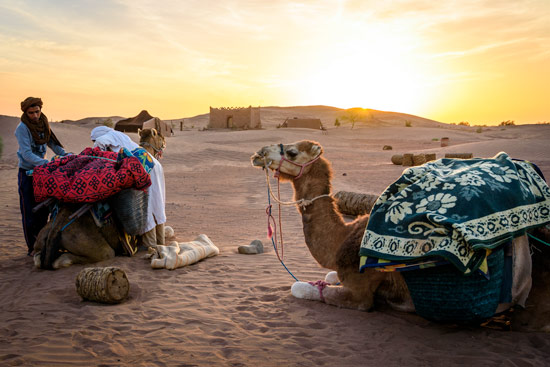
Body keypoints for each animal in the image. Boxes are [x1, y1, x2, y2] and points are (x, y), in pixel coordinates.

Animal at [32, 129, 165, 270]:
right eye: (160, 137)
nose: (164, 143)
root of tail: (56, 230)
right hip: (99, 249)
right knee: (65, 260)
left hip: (41, 239)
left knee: (38, 258)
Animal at [251, 140, 550, 330]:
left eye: (291, 152)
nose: (258, 153)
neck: (341, 240)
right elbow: (328, 275)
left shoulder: (360, 293)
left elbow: (303, 288)